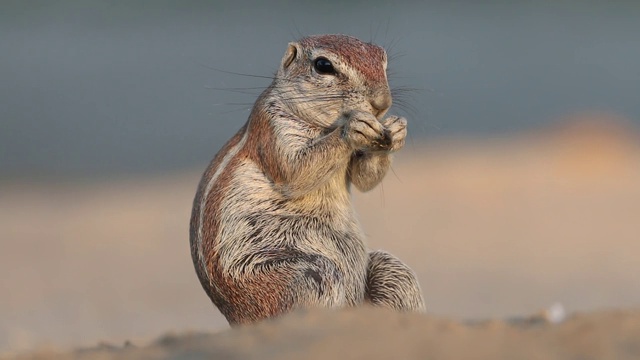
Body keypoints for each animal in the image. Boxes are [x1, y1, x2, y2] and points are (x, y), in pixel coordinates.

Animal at [189, 33, 424, 324]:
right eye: (323, 65)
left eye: (383, 60)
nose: (382, 104)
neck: (324, 126)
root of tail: (237, 321)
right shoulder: (273, 127)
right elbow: (296, 172)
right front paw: (353, 128)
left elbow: (364, 180)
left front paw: (397, 129)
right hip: (305, 275)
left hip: (391, 272)